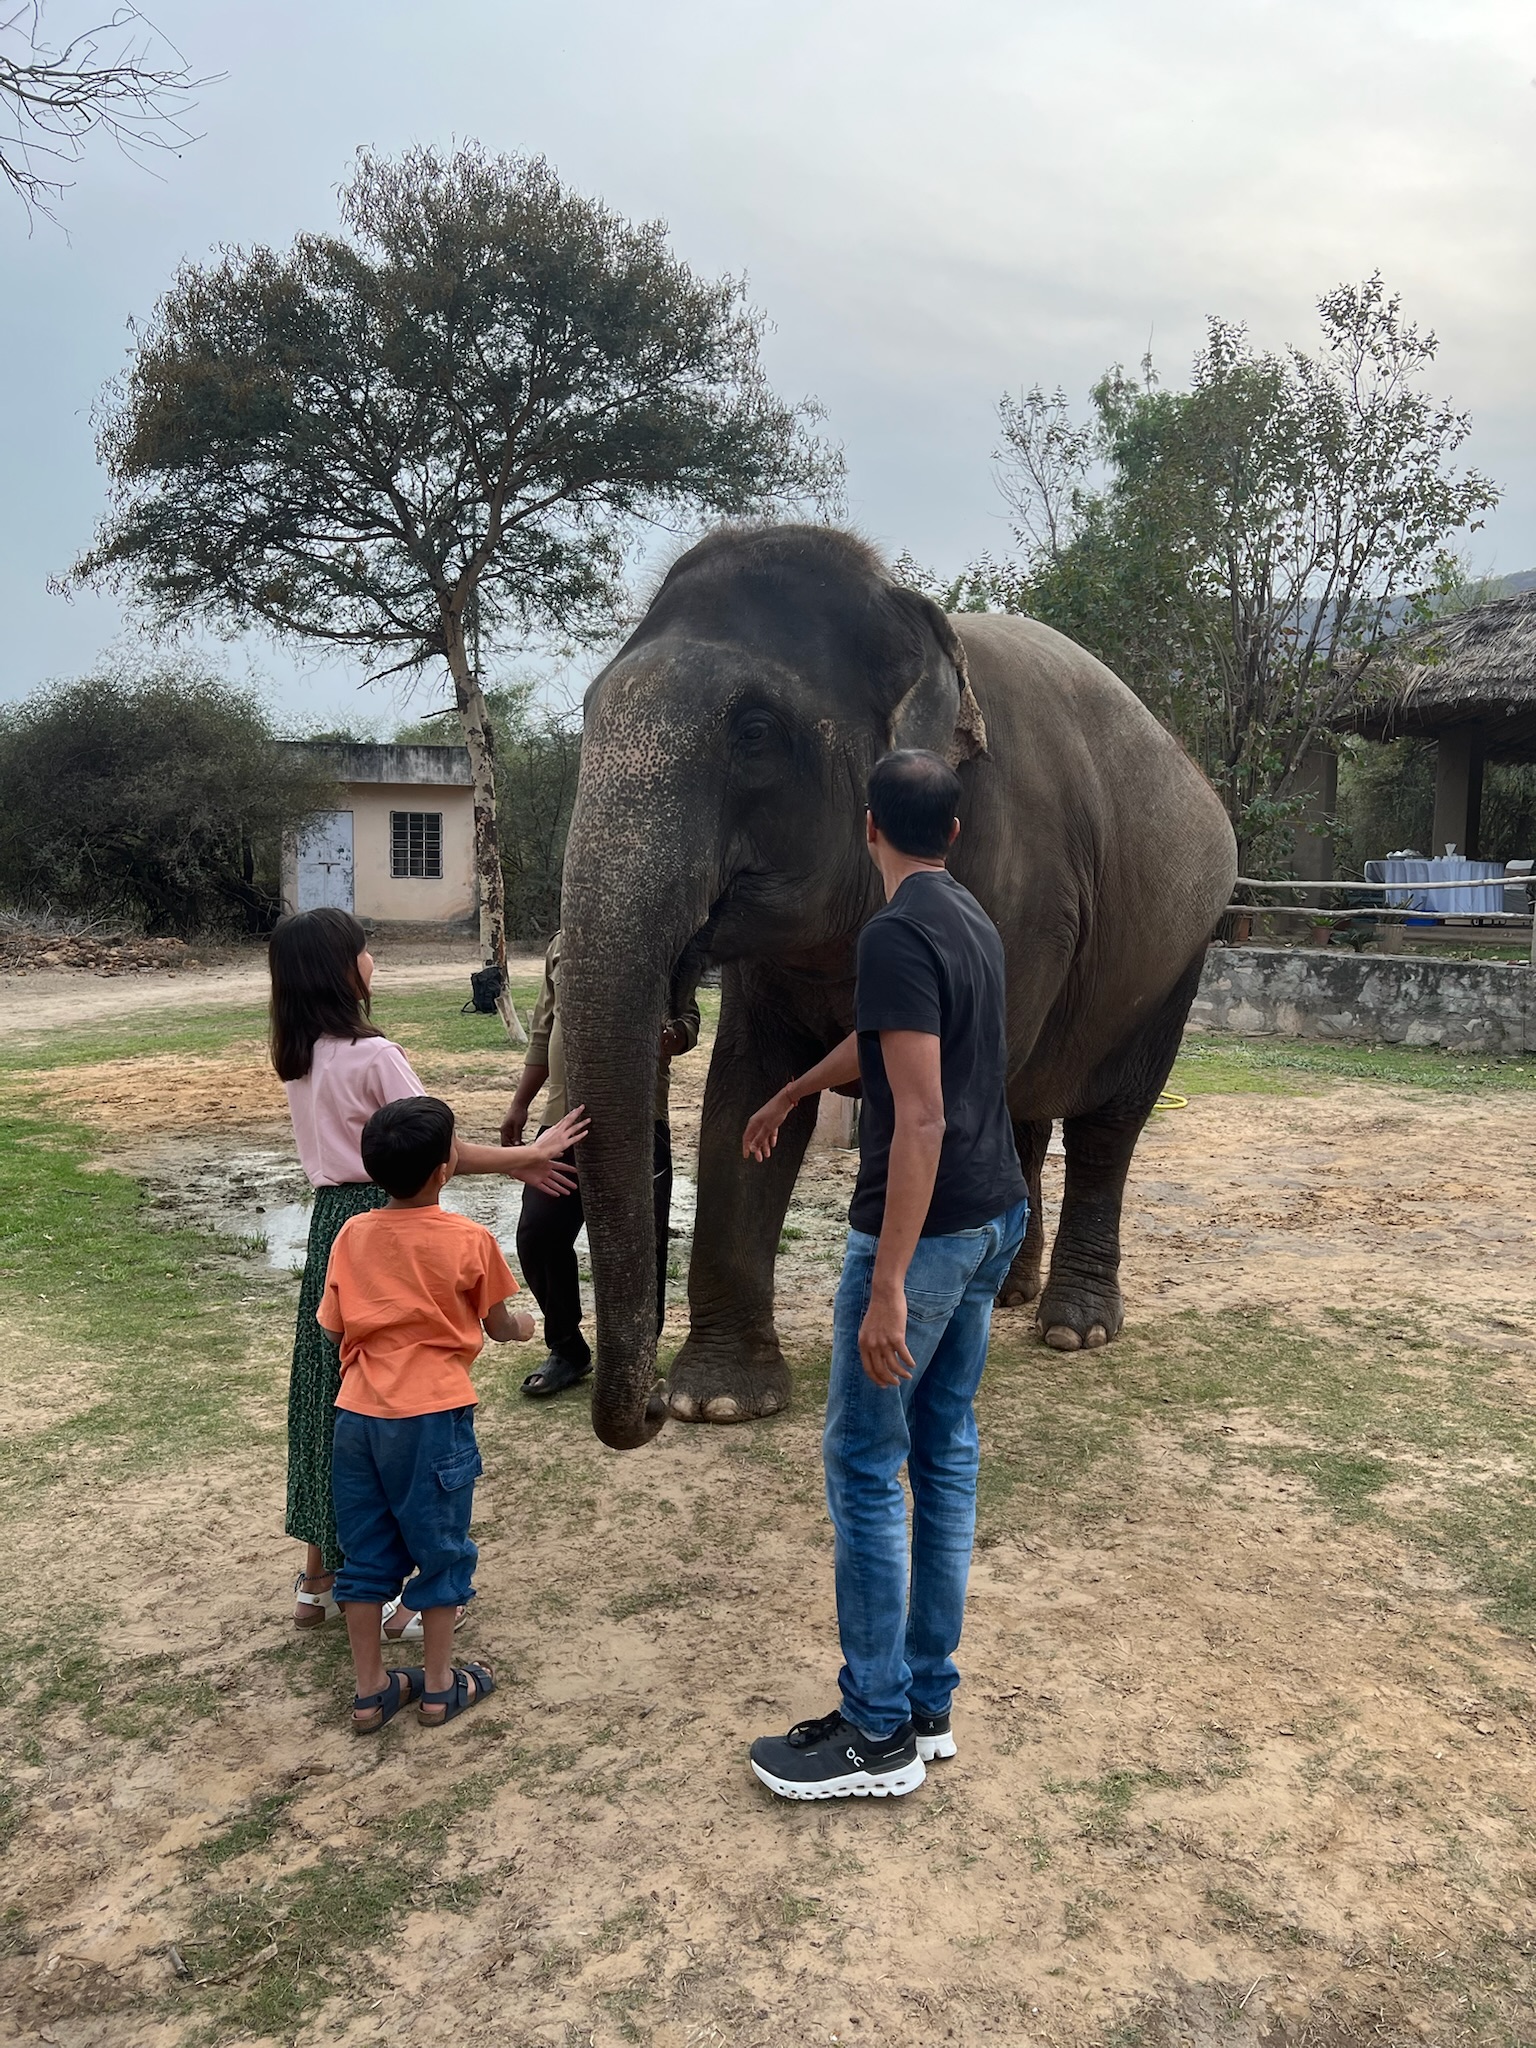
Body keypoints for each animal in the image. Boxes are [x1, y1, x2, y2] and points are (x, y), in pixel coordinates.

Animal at [559, 524, 1237, 1450]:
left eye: (756, 731)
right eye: (588, 716)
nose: (650, 1409)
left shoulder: (1020, 886)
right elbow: (746, 1091)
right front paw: (722, 1402)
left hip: (1176, 958)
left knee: (1109, 1122)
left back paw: (1074, 1327)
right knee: (1024, 1116)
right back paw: (1010, 1291)